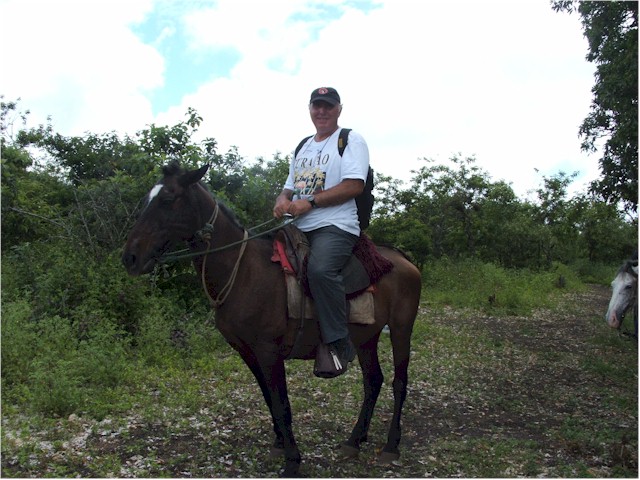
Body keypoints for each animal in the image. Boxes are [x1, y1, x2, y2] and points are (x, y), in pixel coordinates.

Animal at [121, 162, 422, 476]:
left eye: (168, 199)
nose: (130, 258)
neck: (243, 271)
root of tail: (403, 260)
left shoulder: (268, 351)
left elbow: (281, 403)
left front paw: (292, 461)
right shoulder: (247, 351)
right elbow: (268, 398)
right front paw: (280, 444)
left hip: (401, 329)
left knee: (399, 382)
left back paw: (390, 446)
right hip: (366, 338)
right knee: (373, 381)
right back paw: (355, 440)